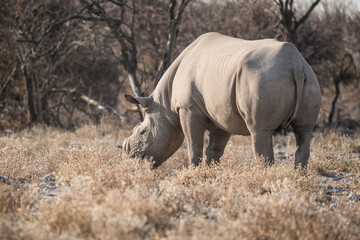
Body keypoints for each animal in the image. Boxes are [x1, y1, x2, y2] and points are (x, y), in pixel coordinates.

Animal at [122, 32, 322, 169]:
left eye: (142, 132)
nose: (129, 153)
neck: (165, 104)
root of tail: (295, 64)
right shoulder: (223, 115)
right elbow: (214, 150)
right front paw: (210, 171)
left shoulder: (187, 108)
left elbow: (194, 145)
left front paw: (193, 171)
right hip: (310, 78)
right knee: (304, 130)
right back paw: (297, 177)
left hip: (263, 78)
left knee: (260, 130)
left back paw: (265, 176)